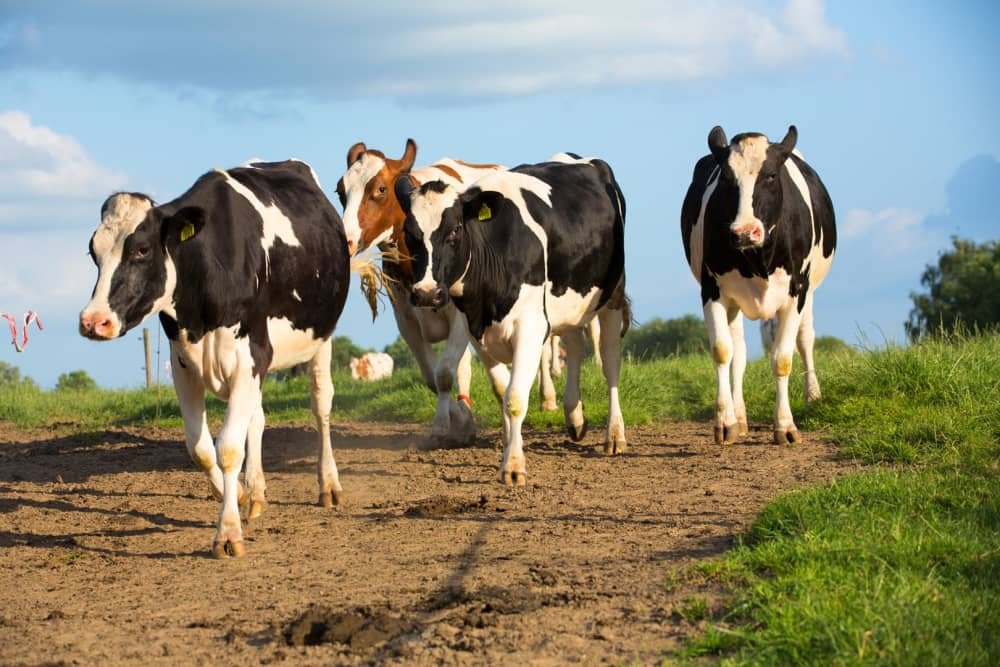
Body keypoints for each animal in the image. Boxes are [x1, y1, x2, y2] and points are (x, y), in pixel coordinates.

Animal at [79, 160, 351, 558]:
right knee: (257, 418)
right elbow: (201, 449)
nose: (93, 321)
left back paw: (328, 485)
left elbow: (228, 449)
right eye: (93, 252)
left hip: (321, 337)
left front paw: (227, 533)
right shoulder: (184, 364)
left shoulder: (251, 355)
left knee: (321, 404)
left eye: (141, 249)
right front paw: (236, 495)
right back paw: (255, 490)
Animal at [336, 140, 511, 445]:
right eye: (340, 190)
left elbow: (444, 372)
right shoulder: (405, 319)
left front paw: (446, 423)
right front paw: (460, 419)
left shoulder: (460, 316)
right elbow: (432, 376)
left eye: (380, 189)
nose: (344, 240)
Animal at [396, 154, 630, 486]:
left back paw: (614, 434)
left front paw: (513, 465)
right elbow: (500, 388)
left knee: (610, 363)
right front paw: (509, 443)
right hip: (566, 303)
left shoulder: (530, 328)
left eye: (455, 230)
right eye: (409, 233)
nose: (427, 293)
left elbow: (515, 397)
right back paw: (574, 416)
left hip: (612, 295)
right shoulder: (475, 329)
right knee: (574, 345)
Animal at [681, 125, 836, 445]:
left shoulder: (796, 291)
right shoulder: (711, 289)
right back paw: (739, 416)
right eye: (726, 178)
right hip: (734, 302)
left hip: (809, 290)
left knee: (806, 339)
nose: (744, 232)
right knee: (738, 352)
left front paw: (785, 426)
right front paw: (725, 423)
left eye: (772, 176)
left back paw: (813, 395)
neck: (758, 258)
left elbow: (783, 358)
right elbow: (722, 351)